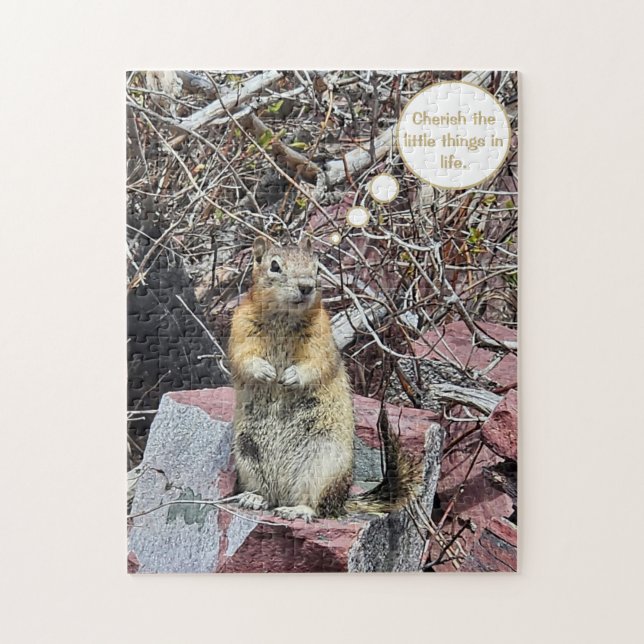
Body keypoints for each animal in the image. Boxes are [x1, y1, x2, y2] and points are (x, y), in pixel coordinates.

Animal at [228, 236, 420, 522]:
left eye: (317, 267)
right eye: (275, 266)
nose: (306, 287)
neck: (283, 317)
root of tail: (342, 502)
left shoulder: (322, 337)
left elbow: (316, 363)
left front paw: (290, 376)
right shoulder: (240, 327)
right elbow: (243, 357)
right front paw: (266, 372)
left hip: (323, 465)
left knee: (317, 507)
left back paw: (297, 510)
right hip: (246, 454)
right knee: (266, 493)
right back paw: (254, 498)